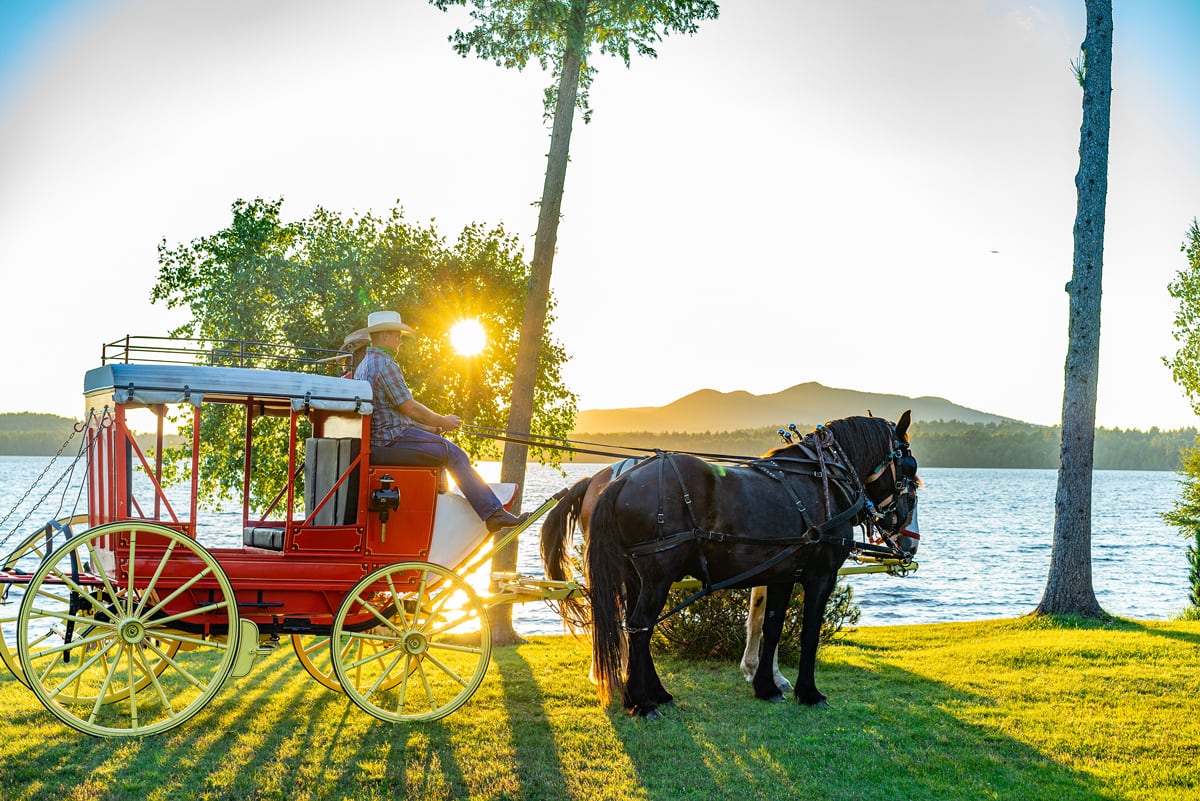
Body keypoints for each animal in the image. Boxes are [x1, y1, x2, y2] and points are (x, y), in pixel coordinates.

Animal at [585, 410, 912, 714]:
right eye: (910, 466)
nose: (905, 529)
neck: (824, 478)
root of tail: (622, 479)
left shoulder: (783, 575)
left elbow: (773, 627)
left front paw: (766, 686)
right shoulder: (822, 575)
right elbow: (809, 633)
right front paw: (809, 692)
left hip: (634, 576)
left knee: (636, 628)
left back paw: (655, 693)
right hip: (657, 577)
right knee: (640, 627)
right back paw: (641, 702)